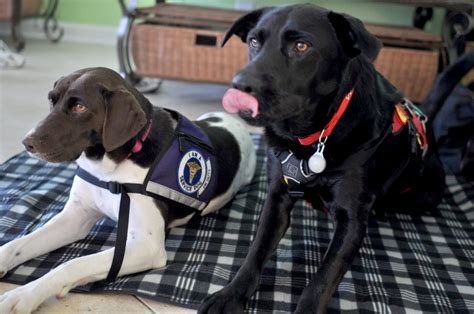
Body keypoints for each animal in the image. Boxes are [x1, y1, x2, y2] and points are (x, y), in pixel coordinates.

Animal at [0, 67, 256, 312]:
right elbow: (18, 244)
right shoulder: (74, 219)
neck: (109, 167)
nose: (27, 143)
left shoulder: (145, 246)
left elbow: (71, 264)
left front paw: (23, 295)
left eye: (79, 107)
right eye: (51, 101)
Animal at [198, 3, 446, 312]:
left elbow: (322, 278)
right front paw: (231, 294)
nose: (239, 86)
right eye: (254, 42)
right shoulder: (277, 196)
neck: (311, 137)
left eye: (301, 46)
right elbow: (255, 251)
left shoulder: (351, 220)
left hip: (426, 195)